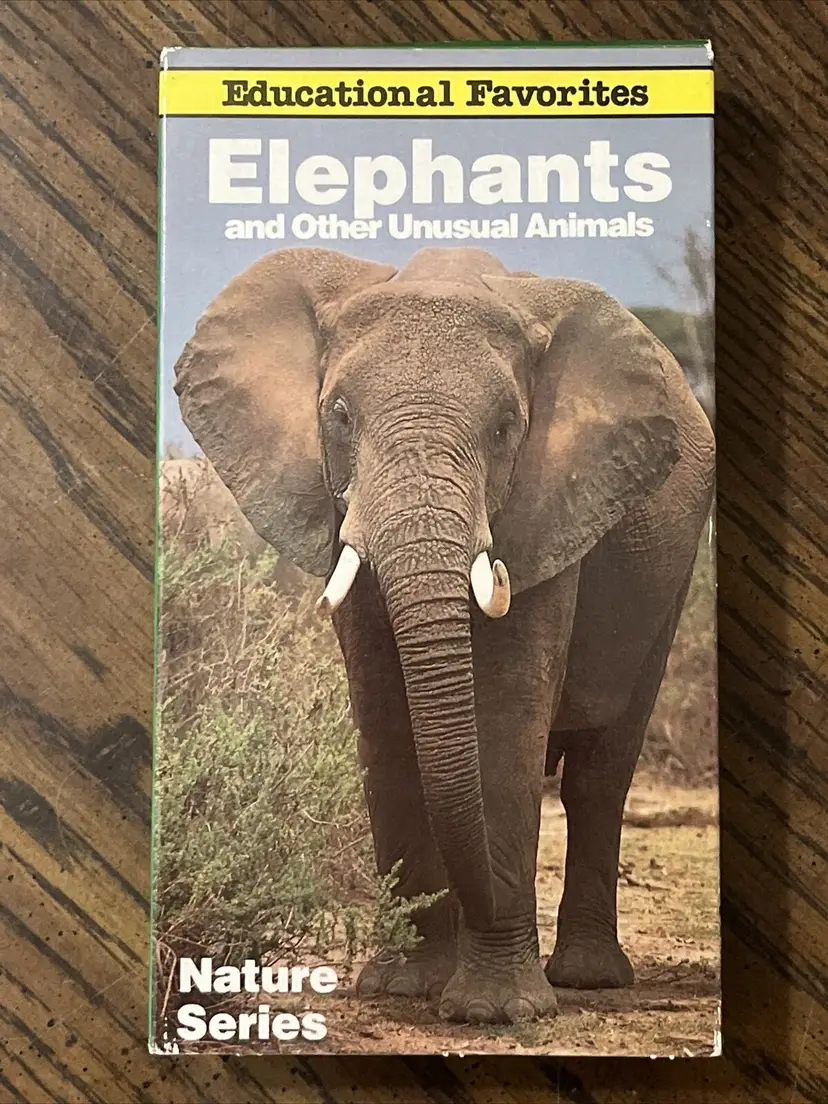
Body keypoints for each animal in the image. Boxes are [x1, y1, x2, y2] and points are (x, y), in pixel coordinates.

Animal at [172, 244, 715, 1025]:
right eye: (338, 415)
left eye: (506, 428)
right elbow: (383, 720)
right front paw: (405, 988)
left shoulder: (549, 503)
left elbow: (507, 718)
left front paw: (495, 1012)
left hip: (670, 577)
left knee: (601, 771)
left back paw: (585, 978)